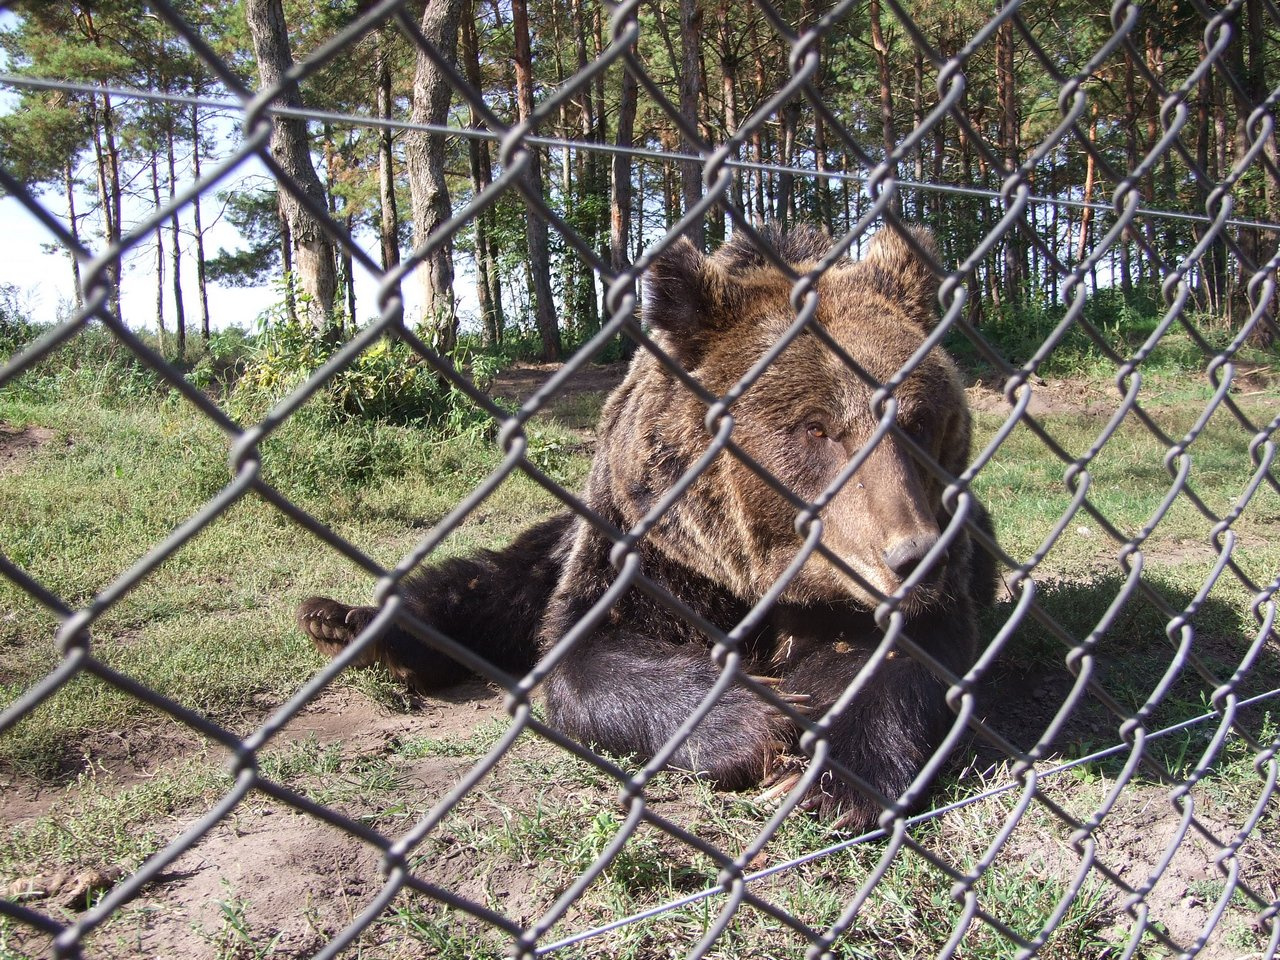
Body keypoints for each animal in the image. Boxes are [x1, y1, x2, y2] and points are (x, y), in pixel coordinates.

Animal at [296, 225, 988, 834]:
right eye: (816, 428)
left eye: (918, 421)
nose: (913, 556)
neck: (763, 573)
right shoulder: (653, 547)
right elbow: (590, 649)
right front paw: (760, 718)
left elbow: (904, 658)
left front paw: (830, 781)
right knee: (492, 581)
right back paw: (348, 623)